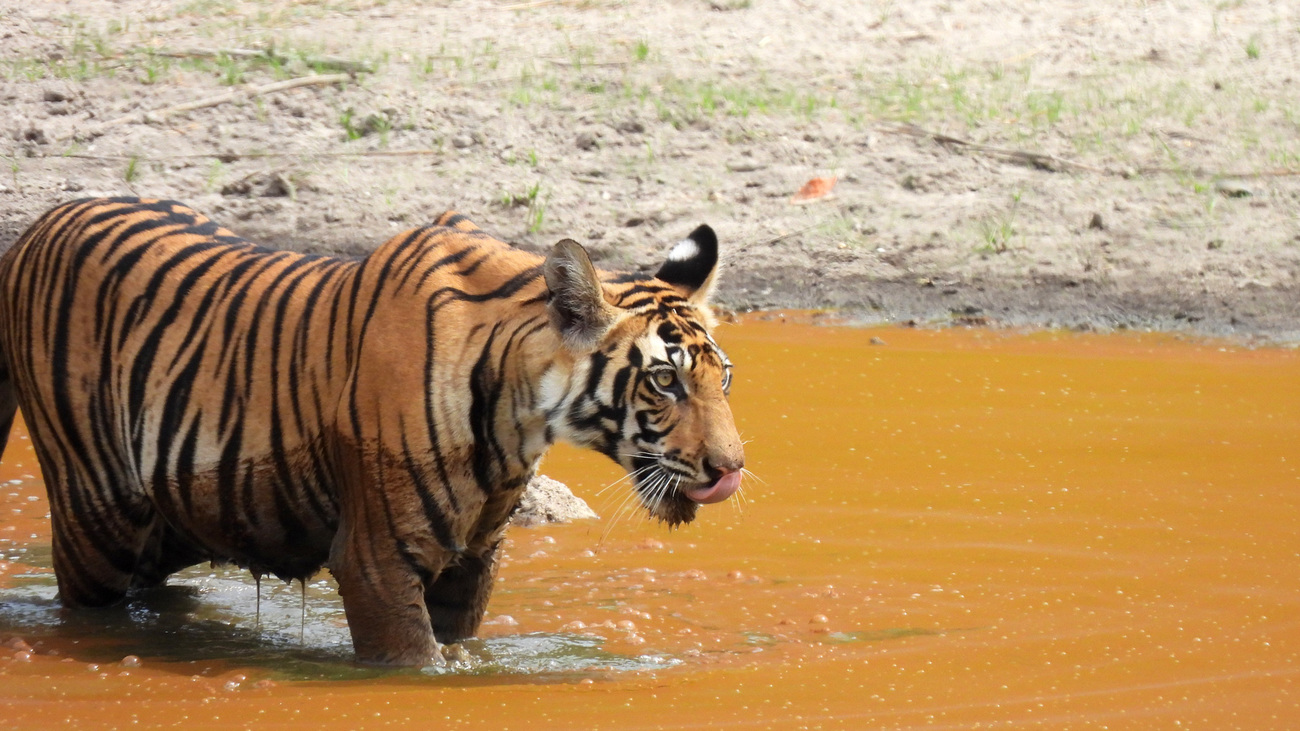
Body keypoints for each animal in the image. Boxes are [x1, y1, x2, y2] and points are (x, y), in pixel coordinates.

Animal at [0, 197, 744, 666]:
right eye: (664, 381)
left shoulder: (473, 558)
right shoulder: (376, 557)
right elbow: (414, 662)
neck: (518, 420)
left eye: (723, 378)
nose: (730, 469)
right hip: (97, 512)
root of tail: (36, 225)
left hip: (175, 513)